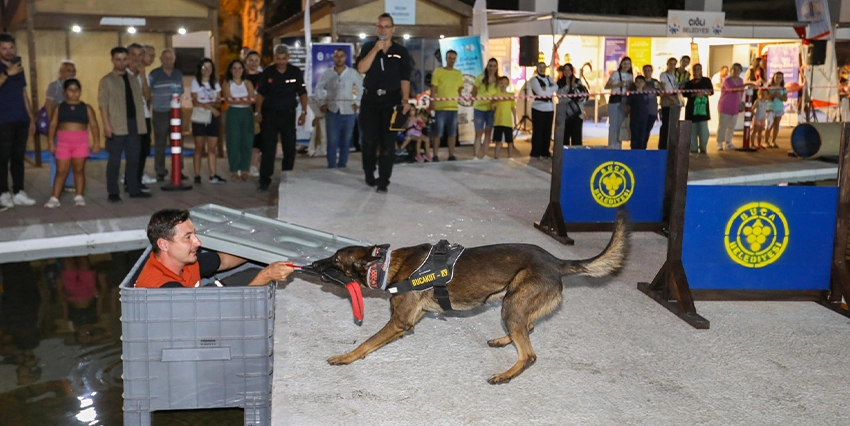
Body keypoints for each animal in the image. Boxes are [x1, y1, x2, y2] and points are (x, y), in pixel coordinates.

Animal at [308, 209, 628, 382]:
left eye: (335, 260)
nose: (312, 264)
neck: (387, 265)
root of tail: (556, 261)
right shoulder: (414, 317)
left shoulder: (400, 322)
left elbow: (366, 342)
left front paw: (345, 357)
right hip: (515, 301)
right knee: (528, 327)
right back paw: (504, 339)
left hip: (512, 303)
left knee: (529, 354)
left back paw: (505, 374)